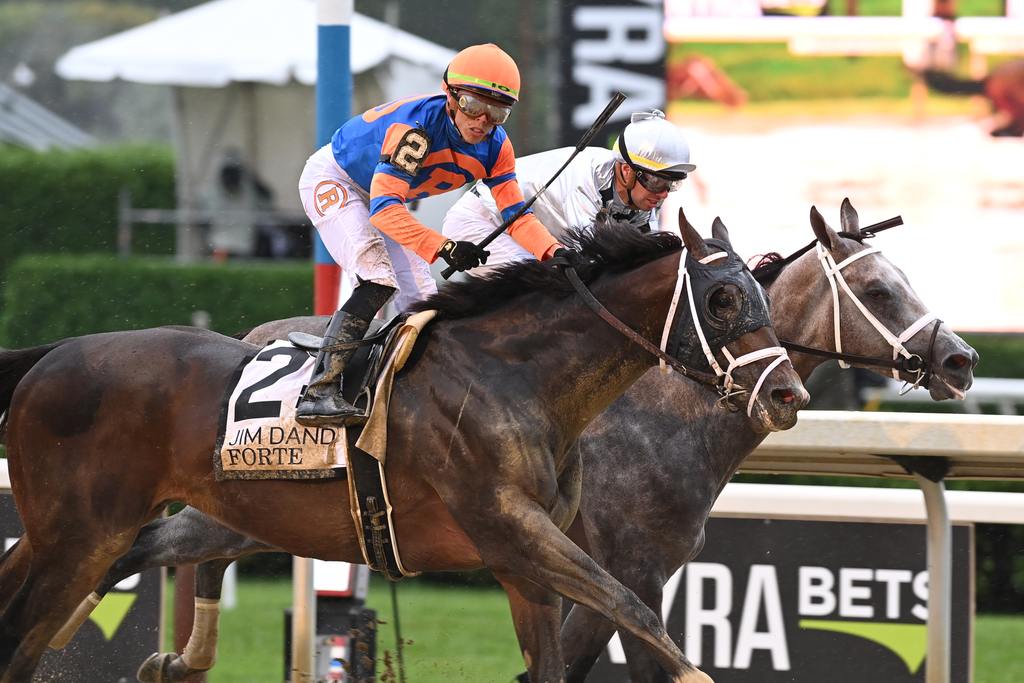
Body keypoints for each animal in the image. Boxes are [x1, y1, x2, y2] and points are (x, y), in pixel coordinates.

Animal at [56, 200, 974, 679]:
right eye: (880, 289)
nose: (960, 359)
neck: (659, 412)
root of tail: (256, 335)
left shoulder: (582, 567)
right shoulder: (615, 561)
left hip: (261, 514)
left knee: (173, 550)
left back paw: (165, 653)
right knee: (143, 548)